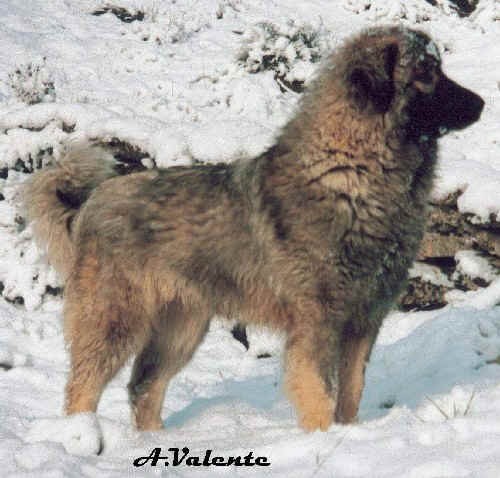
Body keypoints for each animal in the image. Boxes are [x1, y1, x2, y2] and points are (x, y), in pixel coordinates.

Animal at [24, 25, 484, 436]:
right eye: (427, 71)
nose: (481, 103)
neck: (355, 174)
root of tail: (94, 199)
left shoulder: (363, 320)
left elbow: (351, 394)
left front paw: (348, 434)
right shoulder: (317, 322)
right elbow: (320, 394)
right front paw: (323, 441)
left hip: (182, 326)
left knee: (144, 385)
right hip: (114, 319)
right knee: (82, 388)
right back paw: (82, 440)